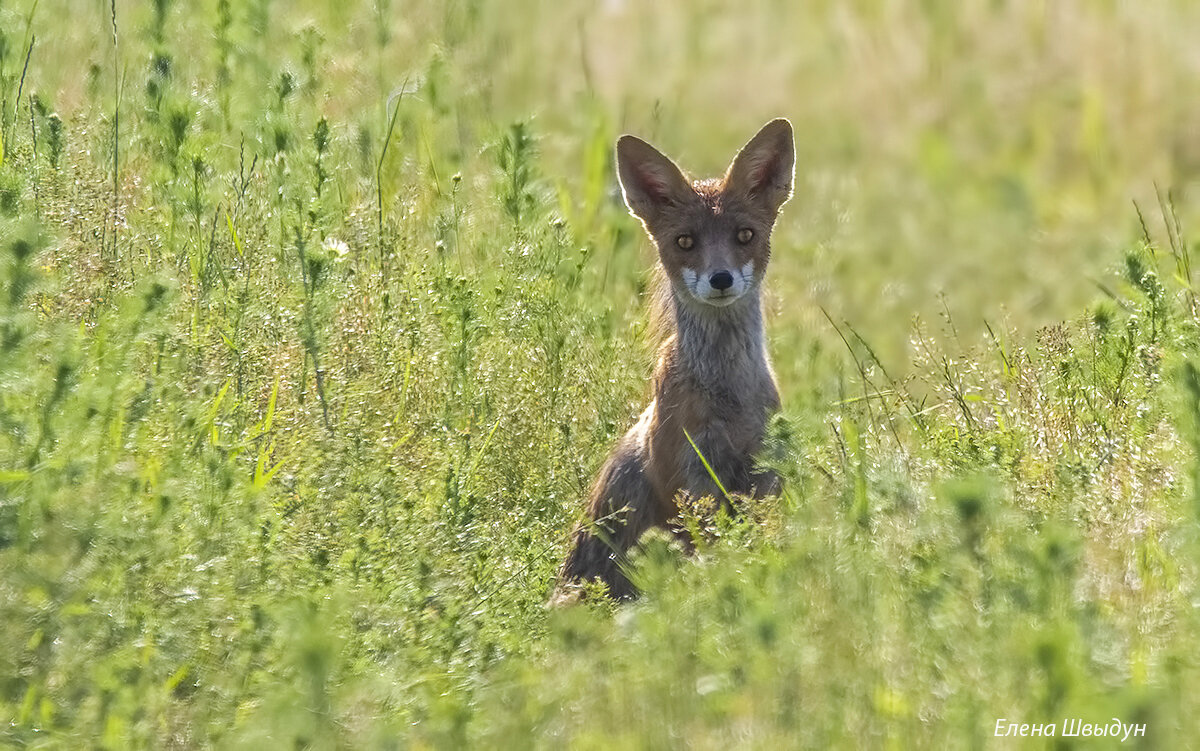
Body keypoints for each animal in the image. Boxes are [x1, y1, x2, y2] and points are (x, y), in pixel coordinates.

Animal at [552, 118, 796, 602]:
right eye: (685, 241)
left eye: (745, 235)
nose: (720, 278)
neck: (728, 399)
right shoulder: (687, 482)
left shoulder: (762, 475)